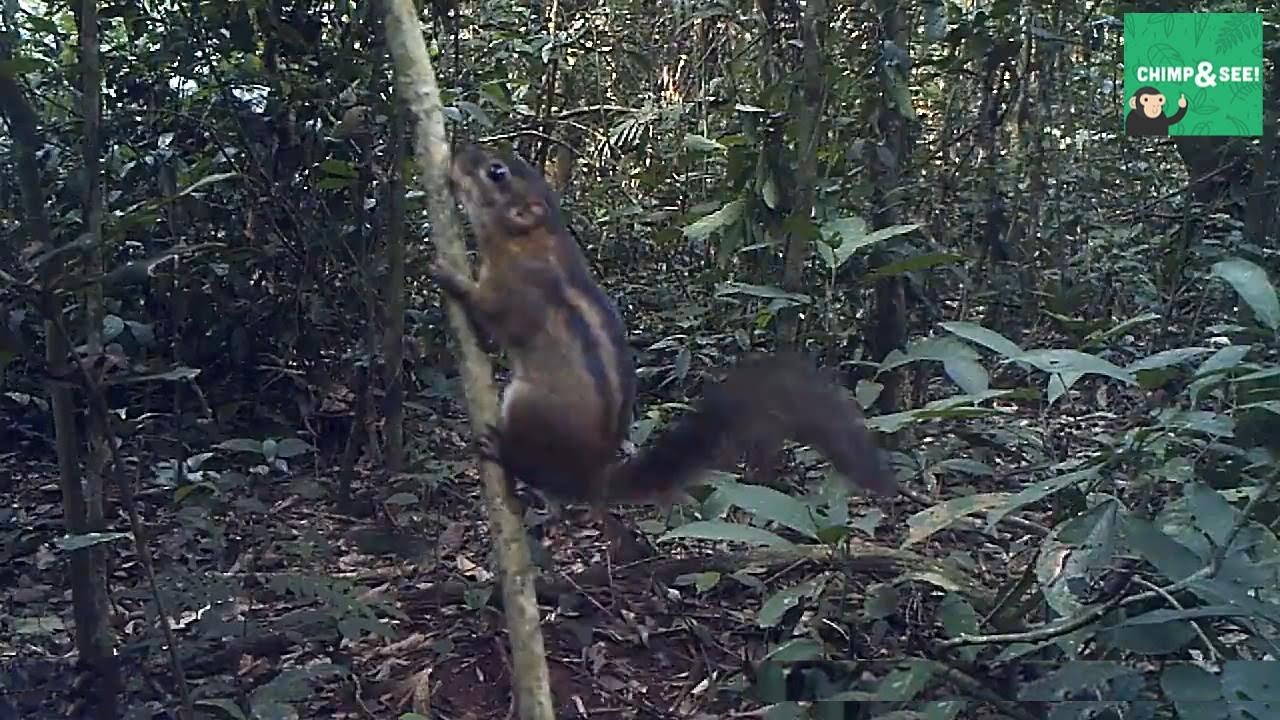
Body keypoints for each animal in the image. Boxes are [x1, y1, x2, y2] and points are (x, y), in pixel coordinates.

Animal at [430, 143, 898, 508]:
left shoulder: (516, 292)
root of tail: (594, 478)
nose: (460, 151)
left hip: (526, 406)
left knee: (537, 471)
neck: (528, 238)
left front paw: (450, 278)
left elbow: (491, 317)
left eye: (496, 172)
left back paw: (504, 452)